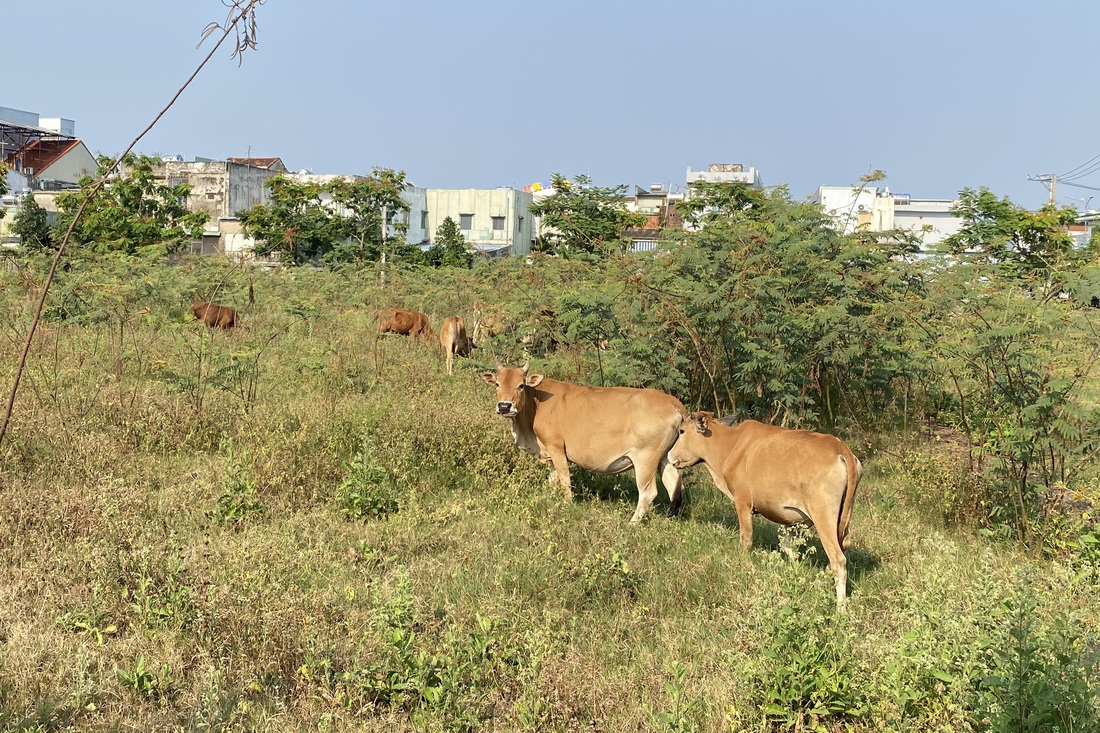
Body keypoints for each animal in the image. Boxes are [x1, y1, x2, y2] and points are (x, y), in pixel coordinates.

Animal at [484, 358, 686, 519]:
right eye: (497, 384)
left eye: (521, 385)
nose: (504, 406)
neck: (537, 401)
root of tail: (672, 402)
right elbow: (552, 480)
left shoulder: (556, 447)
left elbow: (564, 478)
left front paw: (566, 505)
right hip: (665, 459)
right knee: (674, 487)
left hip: (645, 459)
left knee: (648, 493)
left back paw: (632, 523)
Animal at [664, 411, 862, 603]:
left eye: (681, 431)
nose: (669, 455)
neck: (729, 444)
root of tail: (841, 449)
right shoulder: (792, 519)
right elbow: (788, 547)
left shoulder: (742, 502)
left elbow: (746, 539)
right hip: (844, 513)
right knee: (845, 544)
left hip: (823, 515)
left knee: (838, 559)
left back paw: (840, 606)